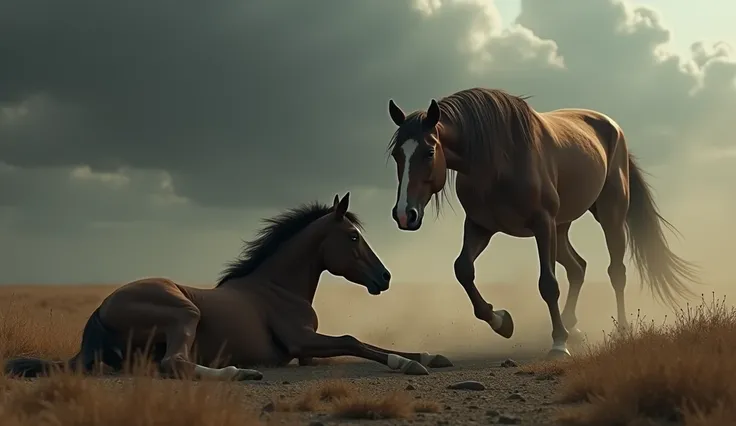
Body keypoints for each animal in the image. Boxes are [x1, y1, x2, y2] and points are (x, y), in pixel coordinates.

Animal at [5, 194, 452, 380]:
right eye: (354, 237)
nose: (385, 277)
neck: (277, 289)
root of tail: (100, 310)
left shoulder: (307, 351)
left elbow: (357, 346)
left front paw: (430, 355)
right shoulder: (302, 341)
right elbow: (352, 340)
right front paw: (409, 364)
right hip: (184, 312)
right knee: (174, 364)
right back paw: (240, 372)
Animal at [388, 87, 700, 360]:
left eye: (429, 152)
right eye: (396, 155)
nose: (405, 214)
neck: (498, 160)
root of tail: (613, 128)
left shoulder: (542, 225)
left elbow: (548, 284)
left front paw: (558, 344)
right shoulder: (480, 226)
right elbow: (463, 269)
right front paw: (501, 321)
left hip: (608, 216)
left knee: (616, 272)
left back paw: (619, 330)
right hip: (560, 229)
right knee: (578, 268)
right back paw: (572, 325)